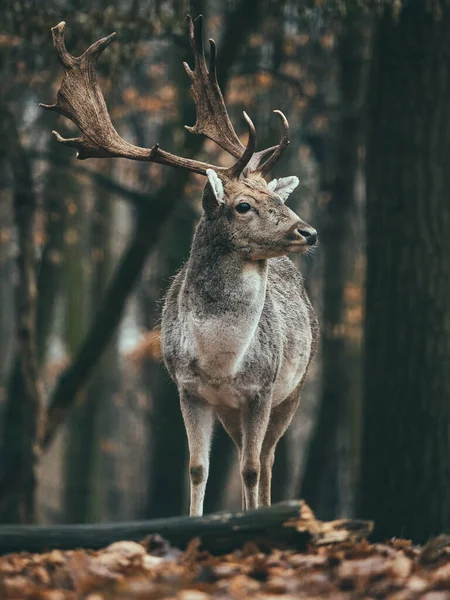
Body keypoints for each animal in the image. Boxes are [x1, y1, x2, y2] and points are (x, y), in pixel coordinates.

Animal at [40, 16, 318, 516]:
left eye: (278, 200)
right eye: (244, 205)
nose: (308, 232)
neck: (220, 364)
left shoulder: (264, 387)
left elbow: (251, 469)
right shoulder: (188, 389)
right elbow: (198, 468)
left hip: (298, 384)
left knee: (265, 460)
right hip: (233, 409)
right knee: (248, 458)